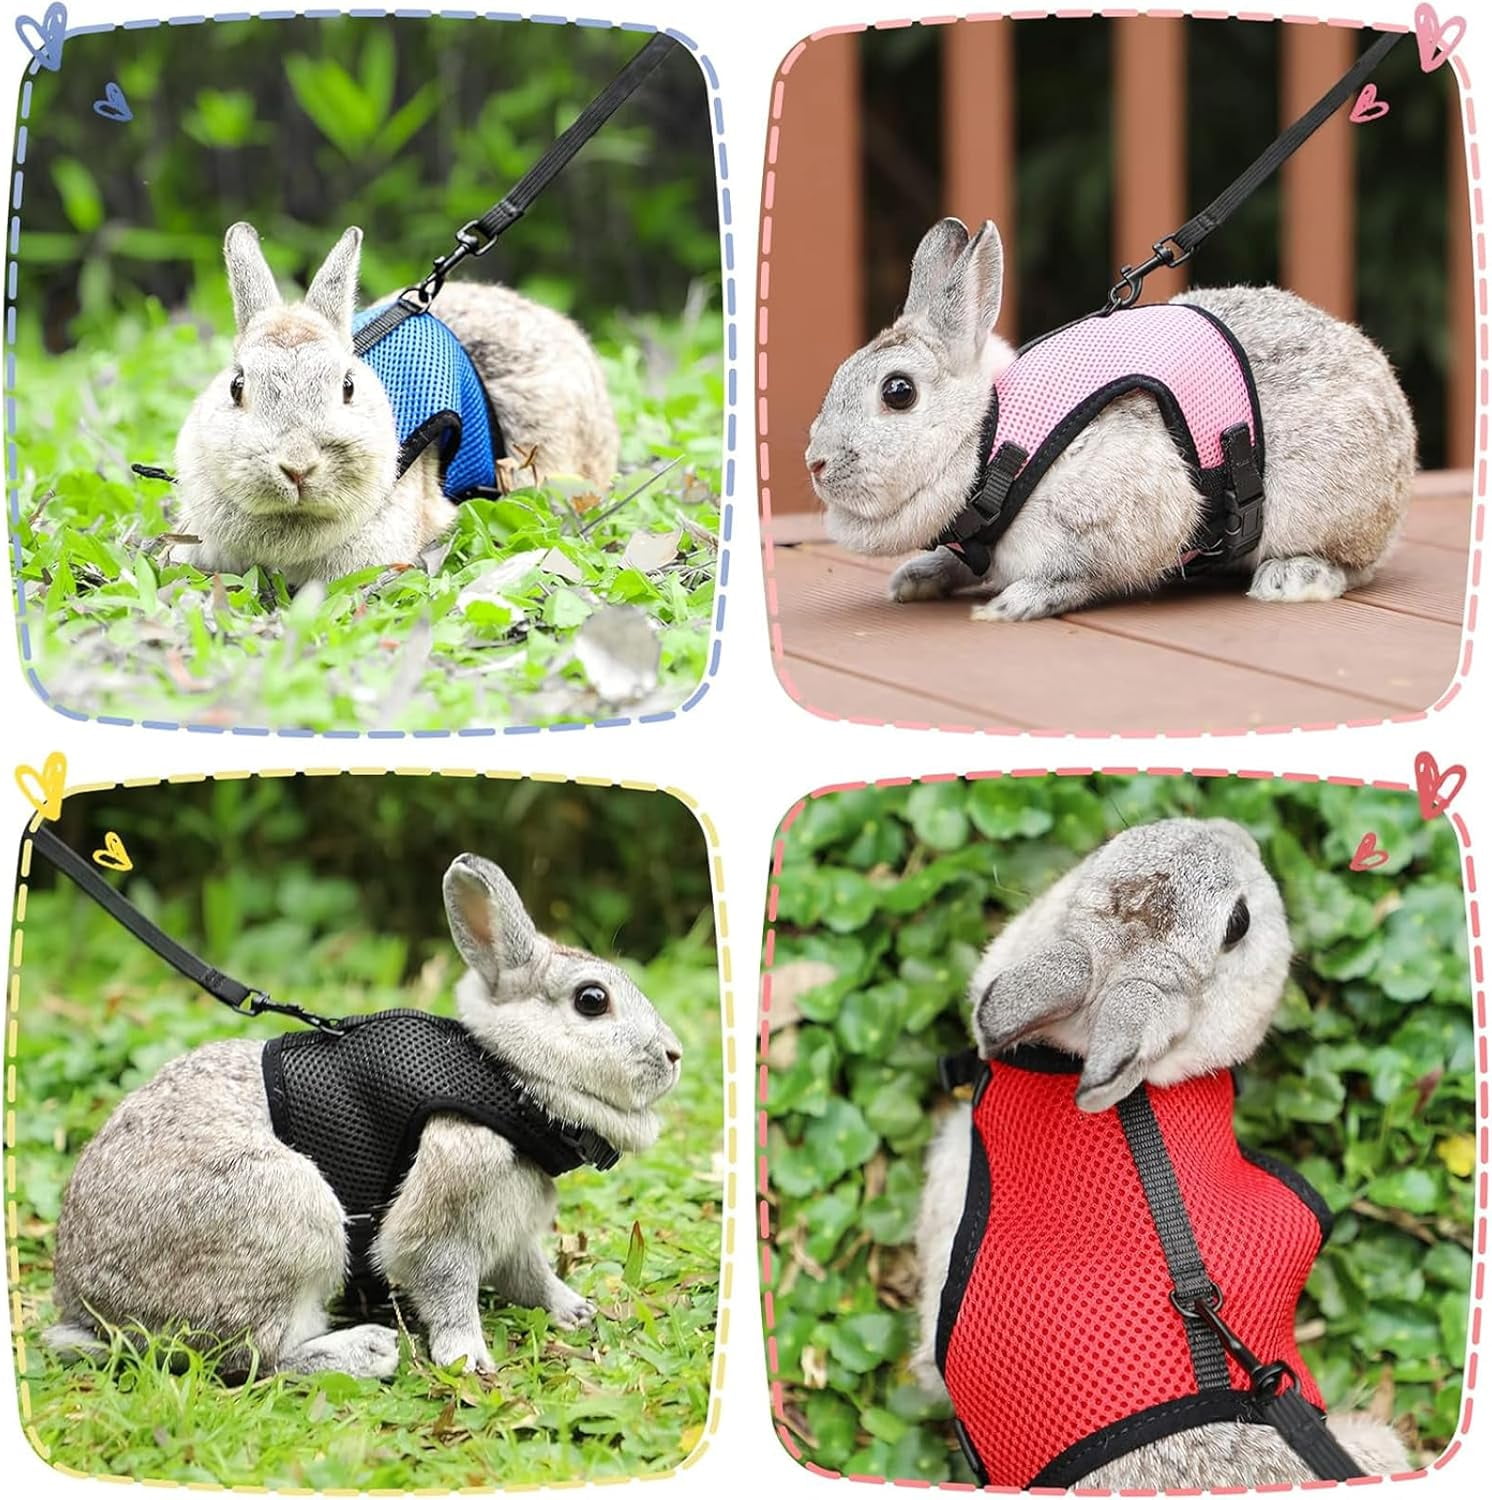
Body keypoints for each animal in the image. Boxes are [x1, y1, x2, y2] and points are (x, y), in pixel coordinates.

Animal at [44, 853, 681, 1379]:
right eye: (592, 1001)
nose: (674, 1055)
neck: (504, 1078)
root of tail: (91, 1310)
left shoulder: (512, 1230)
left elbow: (530, 1275)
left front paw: (575, 1309)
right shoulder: (444, 1212)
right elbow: (444, 1283)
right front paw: (467, 1360)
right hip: (290, 1216)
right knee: (255, 1357)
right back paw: (368, 1351)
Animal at [805, 218, 1416, 621]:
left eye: (898, 392)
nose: (815, 463)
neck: (989, 439)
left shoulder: (1129, 511)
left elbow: (1080, 574)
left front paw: (1011, 605)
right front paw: (916, 579)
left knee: (1356, 565)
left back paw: (1291, 579)